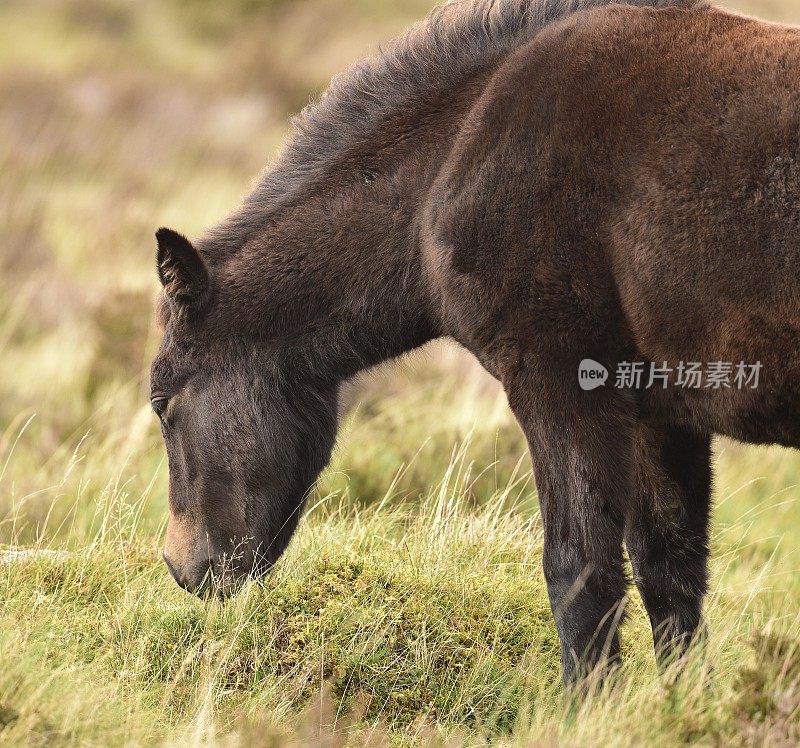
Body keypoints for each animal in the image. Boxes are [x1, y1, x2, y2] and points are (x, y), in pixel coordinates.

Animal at [152, 0, 800, 684]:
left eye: (162, 405)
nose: (181, 566)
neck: (461, 154)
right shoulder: (658, 413)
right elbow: (670, 577)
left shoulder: (562, 389)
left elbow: (579, 574)